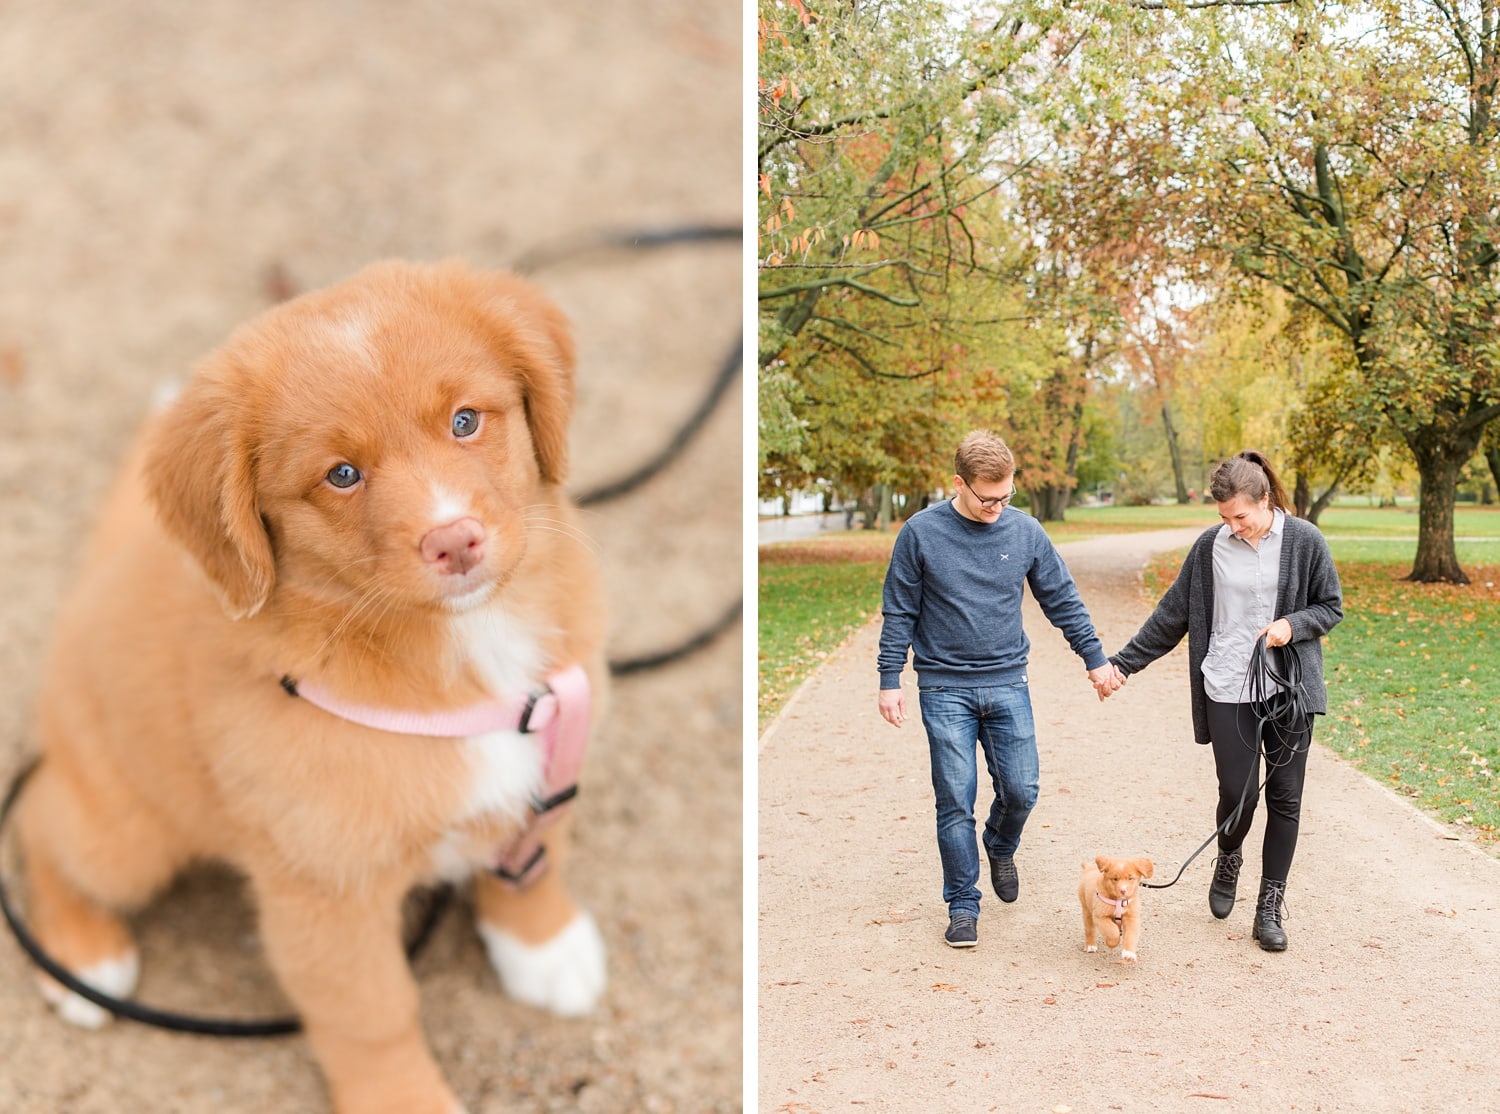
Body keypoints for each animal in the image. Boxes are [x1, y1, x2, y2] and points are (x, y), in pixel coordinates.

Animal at [11, 263, 609, 1114]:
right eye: (342, 475)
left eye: (465, 421)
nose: (454, 540)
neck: (463, 654)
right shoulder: (327, 893)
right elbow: (373, 1016)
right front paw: (406, 1101)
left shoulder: (550, 762)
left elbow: (535, 863)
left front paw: (545, 949)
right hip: (125, 834)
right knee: (41, 822)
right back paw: (81, 959)